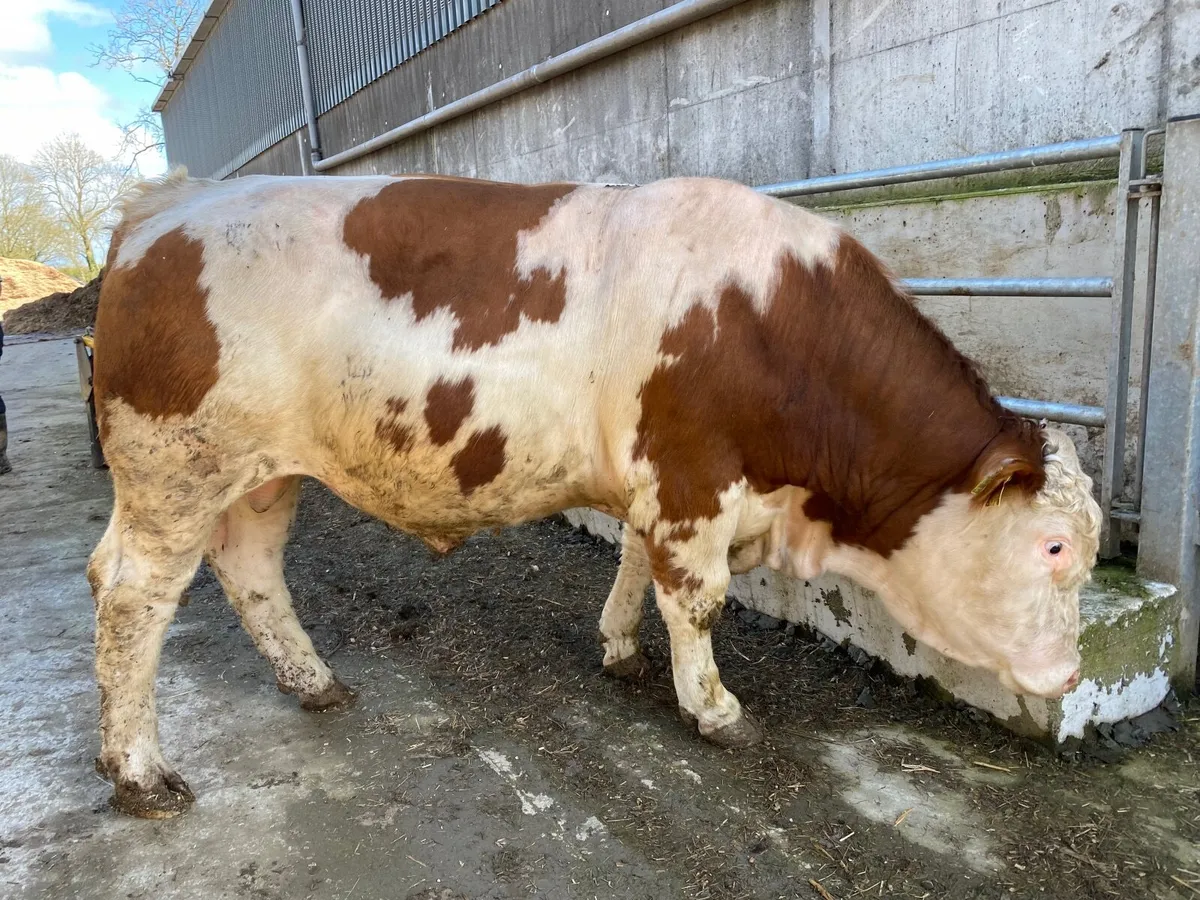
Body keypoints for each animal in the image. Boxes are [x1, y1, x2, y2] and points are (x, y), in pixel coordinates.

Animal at [87, 169, 1100, 818]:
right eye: (1053, 548)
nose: (1069, 677)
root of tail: (168, 202)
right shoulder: (693, 479)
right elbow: (696, 598)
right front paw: (714, 709)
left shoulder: (663, 487)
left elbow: (633, 565)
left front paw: (619, 649)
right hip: (174, 470)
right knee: (132, 594)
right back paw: (139, 773)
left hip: (261, 476)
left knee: (252, 571)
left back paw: (315, 683)